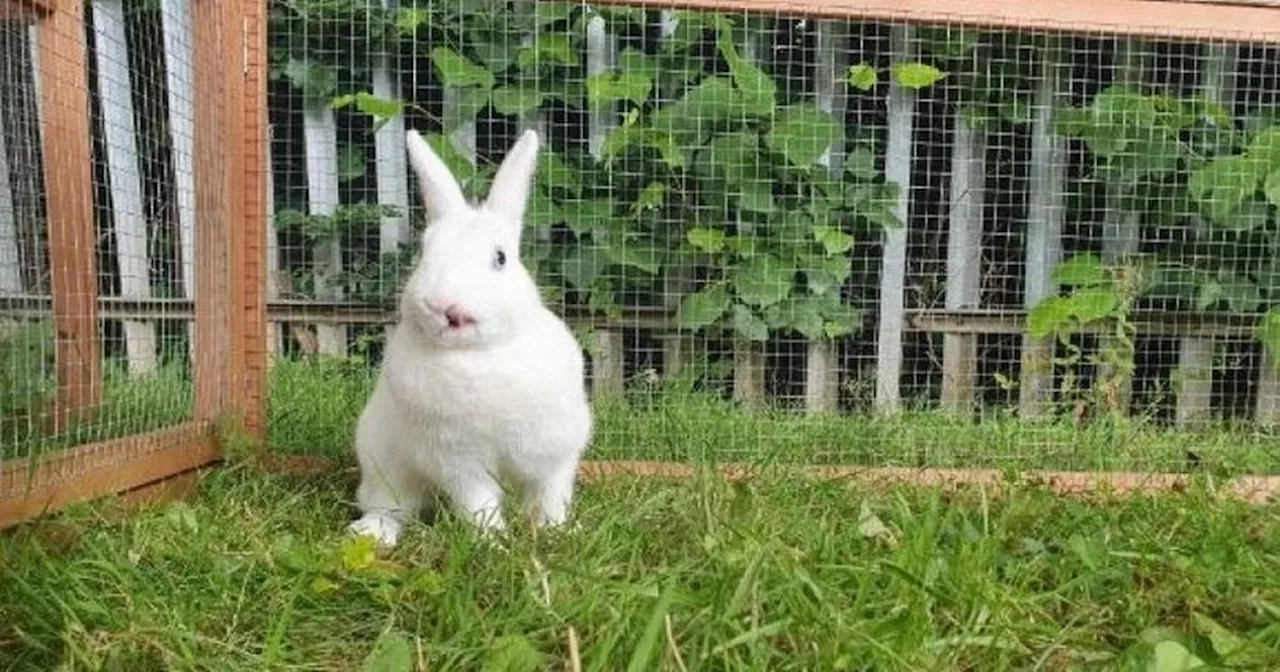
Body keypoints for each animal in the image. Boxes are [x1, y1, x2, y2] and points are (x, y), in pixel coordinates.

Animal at [345, 128, 593, 547]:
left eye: (500, 258)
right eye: (424, 253)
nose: (444, 306)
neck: (476, 354)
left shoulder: (554, 451)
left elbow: (550, 495)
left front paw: (556, 532)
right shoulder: (457, 459)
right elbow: (479, 502)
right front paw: (493, 543)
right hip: (385, 466)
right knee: (389, 507)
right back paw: (372, 534)